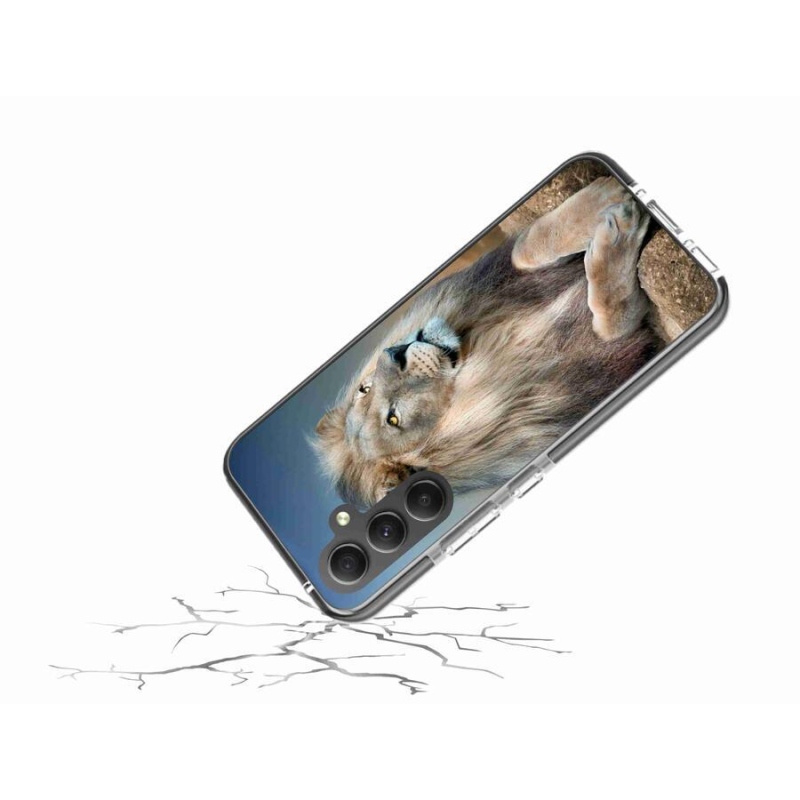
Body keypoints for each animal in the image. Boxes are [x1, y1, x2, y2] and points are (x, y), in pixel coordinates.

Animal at [314, 177, 661, 508]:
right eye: (393, 418)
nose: (394, 354)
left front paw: (606, 196)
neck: (490, 344)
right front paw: (621, 231)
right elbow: (611, 323)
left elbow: (524, 249)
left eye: (365, 388)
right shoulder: (608, 359)